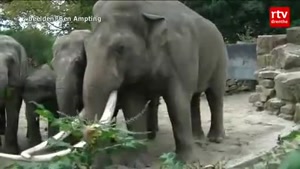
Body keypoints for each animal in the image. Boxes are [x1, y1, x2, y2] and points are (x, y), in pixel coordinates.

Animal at [79, 0, 227, 168]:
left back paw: (215, 139)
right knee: (194, 98)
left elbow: (177, 103)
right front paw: (137, 163)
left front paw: (186, 162)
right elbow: (133, 105)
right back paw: (197, 139)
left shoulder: (181, 53)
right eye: (85, 47)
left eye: (120, 48)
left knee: (214, 96)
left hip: (220, 59)